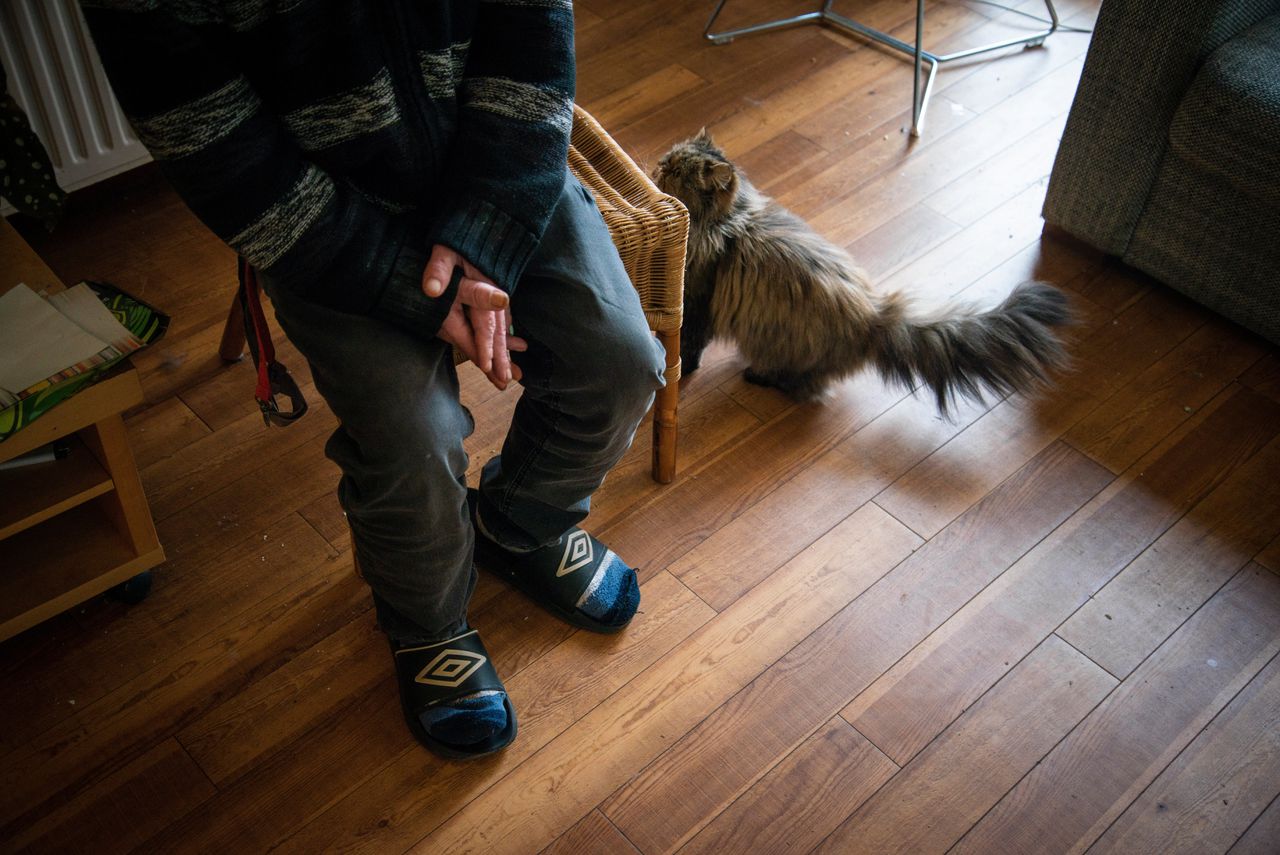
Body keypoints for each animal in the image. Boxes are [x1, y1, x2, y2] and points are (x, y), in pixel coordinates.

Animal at [650, 130, 1070, 414]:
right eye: (667, 159)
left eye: (676, 171)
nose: (658, 164)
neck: (723, 222)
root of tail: (875, 317)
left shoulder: (697, 304)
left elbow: (689, 350)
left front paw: (680, 374)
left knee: (804, 384)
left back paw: (758, 375)